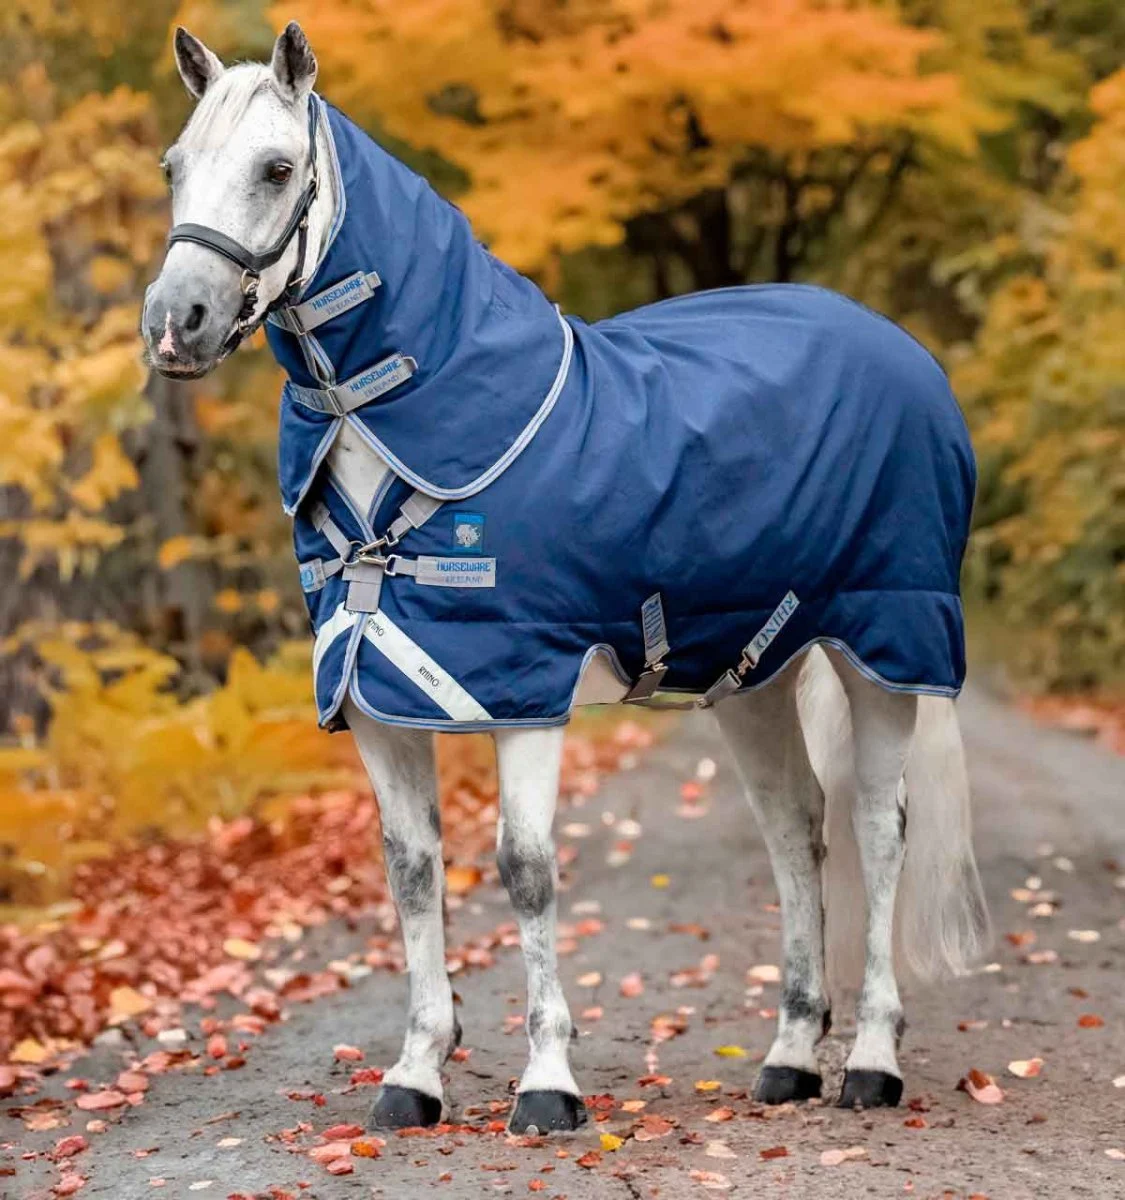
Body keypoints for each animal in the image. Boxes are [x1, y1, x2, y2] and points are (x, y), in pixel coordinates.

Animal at [142, 22, 990, 1134]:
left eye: (277, 168)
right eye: (174, 167)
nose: (176, 323)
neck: (408, 429)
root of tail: (902, 351)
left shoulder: (521, 688)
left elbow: (526, 868)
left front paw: (547, 1083)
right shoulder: (373, 691)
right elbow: (412, 872)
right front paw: (415, 1075)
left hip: (883, 648)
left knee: (877, 829)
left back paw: (871, 1063)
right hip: (754, 674)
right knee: (793, 827)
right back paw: (788, 1058)